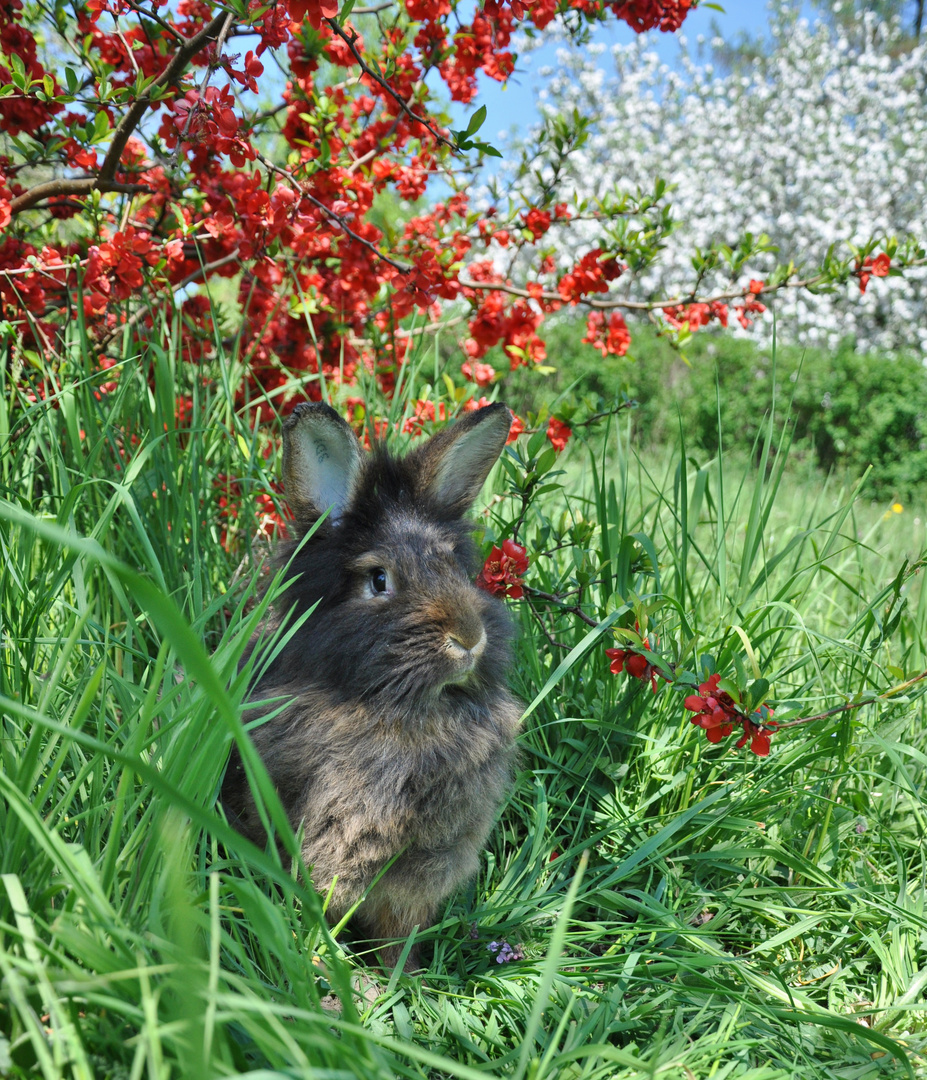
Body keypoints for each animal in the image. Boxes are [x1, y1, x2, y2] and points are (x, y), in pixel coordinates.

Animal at [218, 397, 520, 972]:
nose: (469, 639)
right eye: (379, 581)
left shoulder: (421, 875)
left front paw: (404, 975)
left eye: (454, 566)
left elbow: (397, 932)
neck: (403, 710)